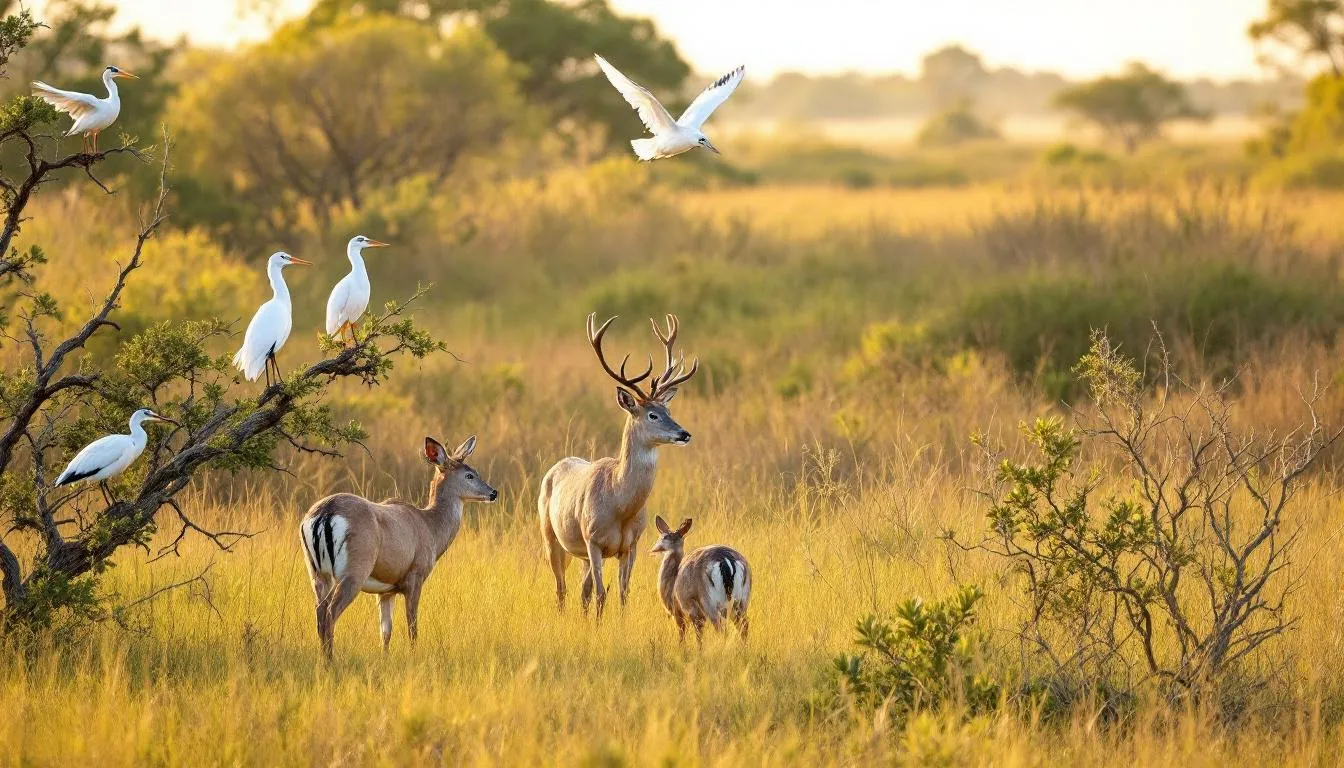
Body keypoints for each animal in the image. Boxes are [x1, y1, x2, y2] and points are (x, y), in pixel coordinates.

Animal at [299, 434, 497, 660]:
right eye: (469, 475)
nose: (493, 492)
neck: (431, 527)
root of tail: (324, 513)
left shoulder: (386, 591)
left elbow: (386, 631)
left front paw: (384, 658)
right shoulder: (415, 578)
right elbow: (412, 626)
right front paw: (414, 655)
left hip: (317, 574)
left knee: (320, 611)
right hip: (353, 572)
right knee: (330, 612)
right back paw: (330, 660)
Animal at [538, 313, 699, 618]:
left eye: (668, 410)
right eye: (652, 414)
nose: (685, 434)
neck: (620, 505)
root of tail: (556, 467)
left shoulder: (631, 545)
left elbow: (623, 594)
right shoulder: (593, 541)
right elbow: (602, 594)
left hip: (581, 554)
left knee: (582, 592)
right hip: (551, 535)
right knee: (561, 589)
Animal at [650, 516, 751, 644]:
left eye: (664, 537)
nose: (653, 549)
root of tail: (726, 560)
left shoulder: (684, 614)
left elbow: (691, 637)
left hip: (710, 604)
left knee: (721, 628)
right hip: (741, 603)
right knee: (744, 626)